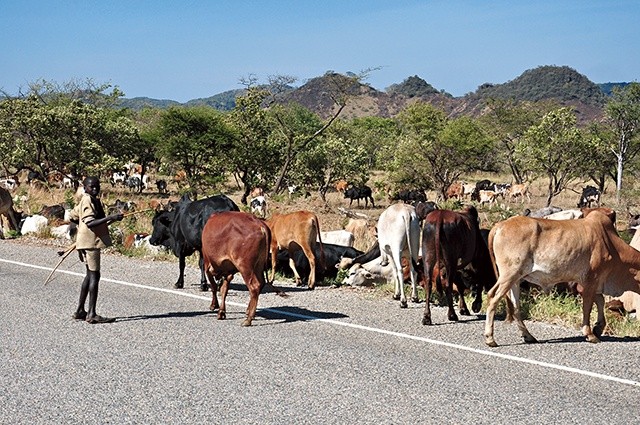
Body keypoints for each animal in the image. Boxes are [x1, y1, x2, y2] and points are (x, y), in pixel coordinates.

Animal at [484, 212, 640, 348]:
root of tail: (500, 225)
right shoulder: (590, 281)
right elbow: (588, 308)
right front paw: (590, 334)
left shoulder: (595, 283)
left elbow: (600, 301)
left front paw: (598, 328)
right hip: (509, 274)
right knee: (492, 297)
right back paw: (490, 338)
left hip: (515, 279)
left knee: (515, 307)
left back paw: (529, 336)